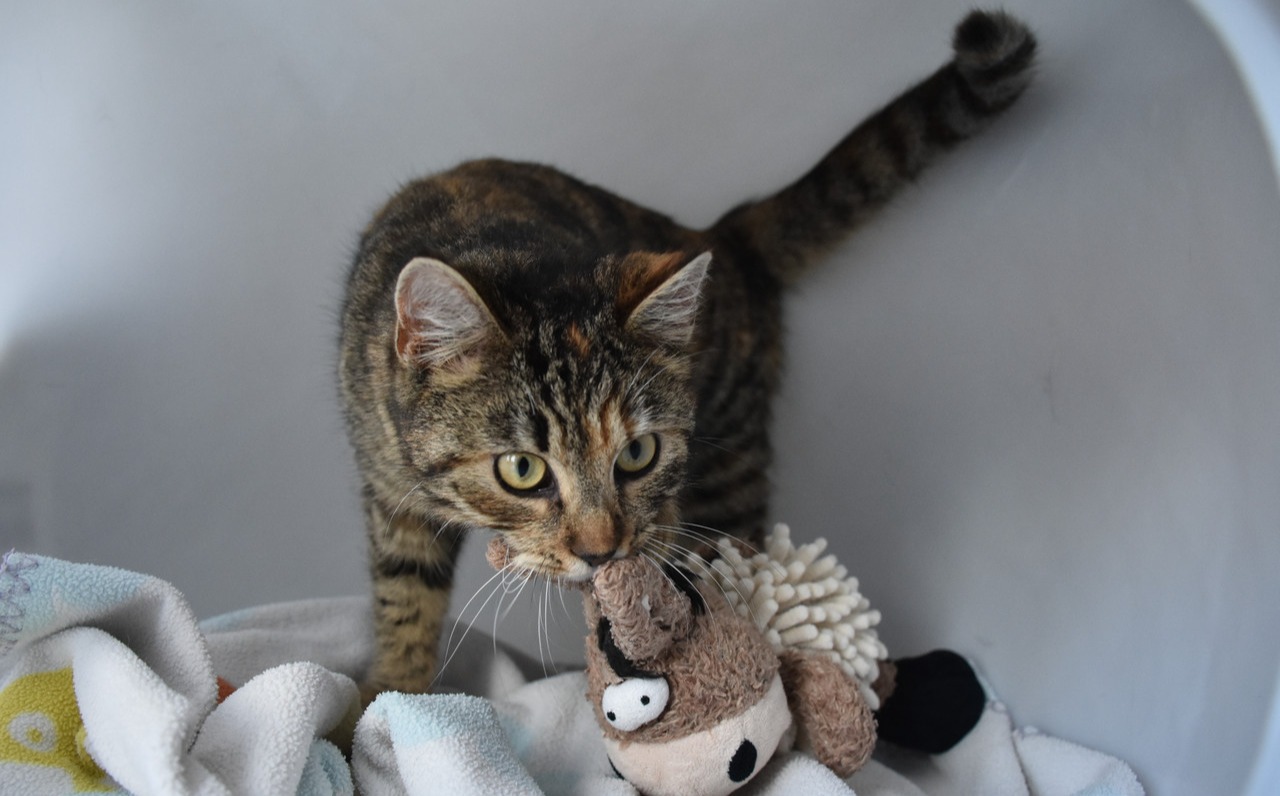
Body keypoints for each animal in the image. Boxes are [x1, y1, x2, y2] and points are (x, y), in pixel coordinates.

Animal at [339, 10, 1036, 697]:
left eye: (638, 455)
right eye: (521, 468)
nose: (601, 551)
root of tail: (722, 238)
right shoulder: (390, 494)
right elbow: (404, 602)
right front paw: (385, 698)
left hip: (731, 471)